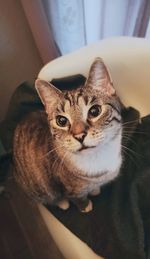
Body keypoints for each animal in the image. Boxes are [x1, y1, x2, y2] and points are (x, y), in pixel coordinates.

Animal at [13, 58, 123, 212]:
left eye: (95, 111)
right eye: (61, 121)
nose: (79, 135)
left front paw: (94, 190)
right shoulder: (69, 190)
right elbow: (77, 198)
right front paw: (85, 206)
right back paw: (62, 203)